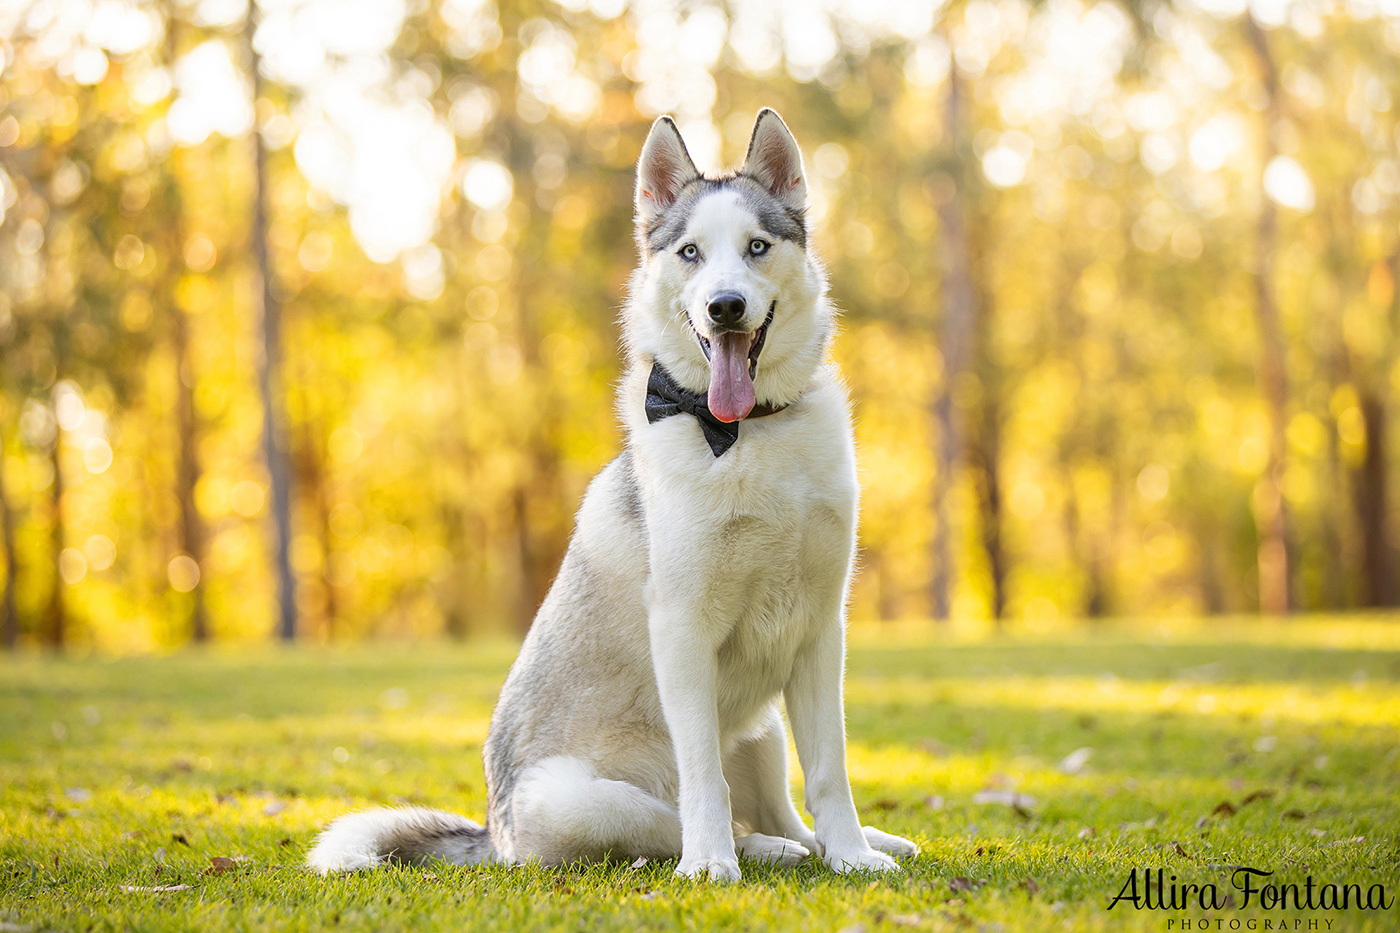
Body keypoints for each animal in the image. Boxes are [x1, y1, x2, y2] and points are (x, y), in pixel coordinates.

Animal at [306, 110, 918, 879]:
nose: (724, 307)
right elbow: (702, 779)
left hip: (765, 725)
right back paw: (753, 850)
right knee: (687, 820)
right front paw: (712, 867)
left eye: (756, 247)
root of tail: (495, 837)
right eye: (690, 253)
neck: (746, 432)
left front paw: (853, 854)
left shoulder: (817, 629)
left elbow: (831, 770)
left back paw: (833, 843)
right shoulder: (684, 630)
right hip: (586, 800)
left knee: (781, 807)